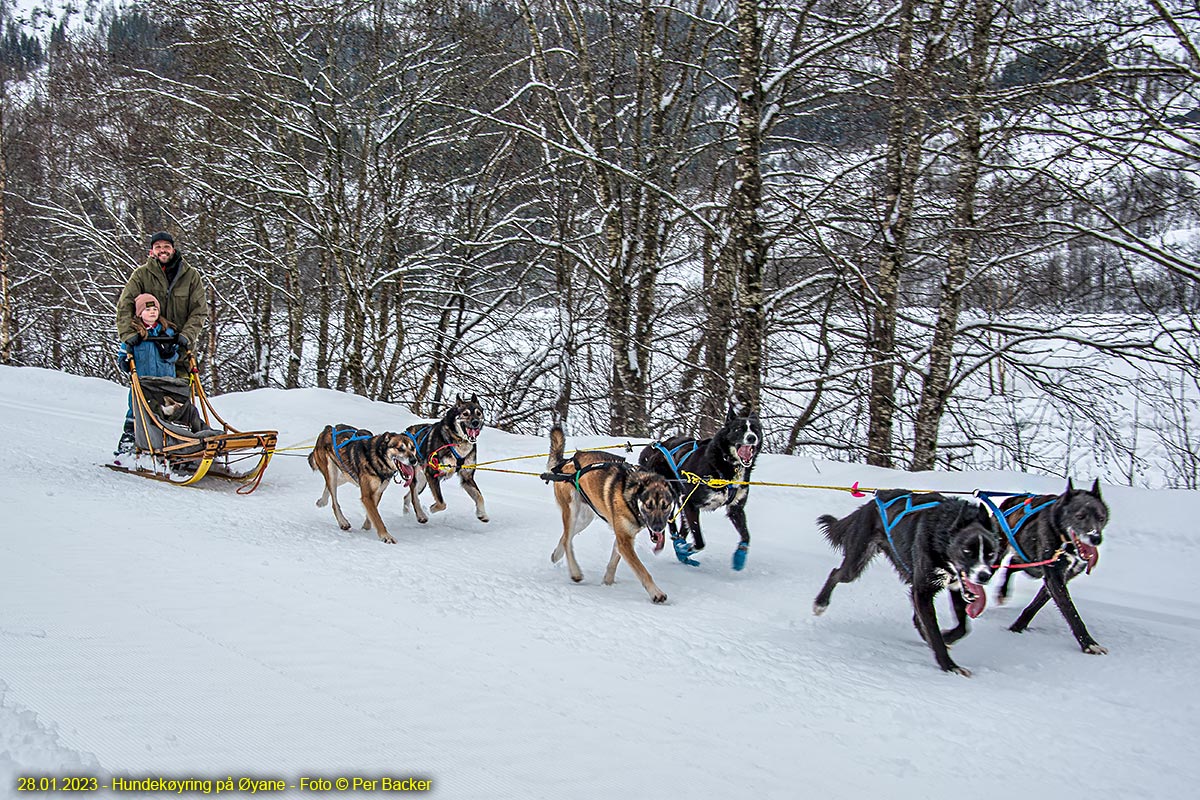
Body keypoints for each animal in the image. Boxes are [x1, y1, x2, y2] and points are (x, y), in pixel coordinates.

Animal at [403, 393, 487, 525]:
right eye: (465, 414)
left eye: (478, 413)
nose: (475, 423)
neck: (459, 442)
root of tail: (407, 432)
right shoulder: (432, 474)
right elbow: (441, 503)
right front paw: (433, 508)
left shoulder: (467, 477)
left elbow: (479, 496)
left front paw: (482, 514)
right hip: (417, 478)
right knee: (414, 497)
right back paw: (421, 515)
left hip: (422, 482)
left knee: (408, 496)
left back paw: (407, 512)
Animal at [542, 424, 676, 599]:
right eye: (648, 505)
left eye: (665, 505)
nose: (658, 527)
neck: (630, 497)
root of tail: (567, 463)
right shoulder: (624, 539)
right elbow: (642, 571)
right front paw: (656, 593)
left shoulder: (623, 536)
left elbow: (614, 561)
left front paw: (608, 581)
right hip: (572, 510)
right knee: (567, 539)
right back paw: (575, 572)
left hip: (585, 518)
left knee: (566, 537)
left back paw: (557, 555)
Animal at [638, 400, 758, 568]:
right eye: (738, 429)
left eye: (756, 429)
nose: (752, 438)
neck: (724, 466)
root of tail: (655, 448)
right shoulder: (690, 502)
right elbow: (700, 542)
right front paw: (684, 549)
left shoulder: (735, 508)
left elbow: (746, 536)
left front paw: (740, 556)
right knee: (667, 520)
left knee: (678, 526)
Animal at [811, 491, 998, 681]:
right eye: (967, 551)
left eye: (991, 553)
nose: (984, 576)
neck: (941, 533)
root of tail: (869, 504)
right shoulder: (923, 591)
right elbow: (935, 633)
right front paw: (949, 666)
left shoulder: (955, 586)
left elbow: (962, 628)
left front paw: (948, 638)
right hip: (855, 563)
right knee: (835, 573)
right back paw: (821, 603)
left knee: (917, 618)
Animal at [984, 479, 1104, 652]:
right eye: (1080, 516)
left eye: (1101, 518)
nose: (1095, 538)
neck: (1065, 542)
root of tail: (1008, 501)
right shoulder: (1054, 577)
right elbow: (1071, 612)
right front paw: (1089, 644)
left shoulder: (1058, 578)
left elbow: (1036, 605)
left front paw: (1017, 627)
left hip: (1032, 566)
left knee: (1013, 562)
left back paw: (1003, 592)